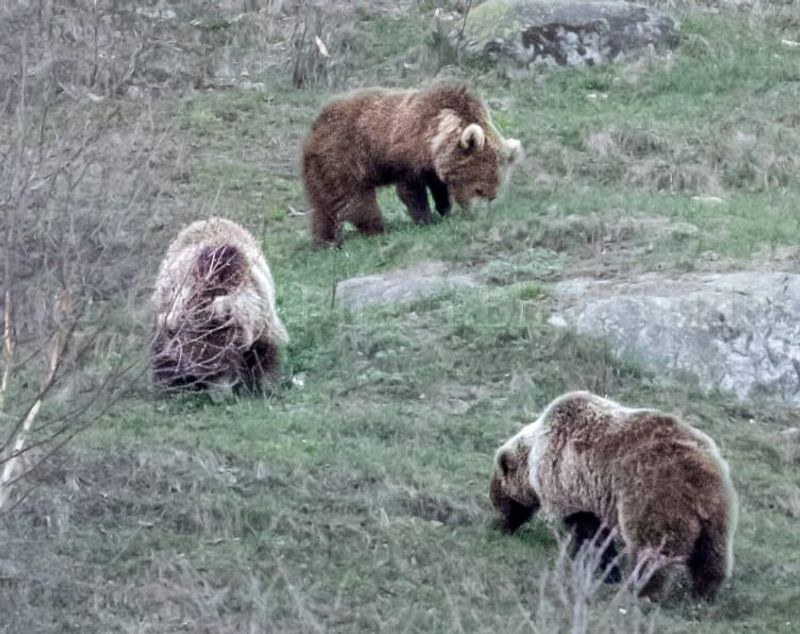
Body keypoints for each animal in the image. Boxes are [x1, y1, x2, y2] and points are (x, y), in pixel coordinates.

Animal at [150, 217, 289, 393]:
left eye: (221, 366)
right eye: (204, 373)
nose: (222, 394)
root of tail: (207, 220)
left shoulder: (261, 318)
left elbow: (265, 354)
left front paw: (267, 385)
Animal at [301, 85, 523, 246]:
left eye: (492, 196)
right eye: (478, 189)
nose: (479, 215)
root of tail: (314, 128)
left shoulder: (433, 166)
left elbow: (439, 187)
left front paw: (443, 209)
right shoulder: (407, 154)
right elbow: (411, 191)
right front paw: (426, 219)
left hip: (320, 170)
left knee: (323, 205)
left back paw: (325, 240)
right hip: (343, 157)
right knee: (356, 200)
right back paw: (378, 229)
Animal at [490, 391, 738, 601]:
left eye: (499, 501)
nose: (498, 527)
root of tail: (703, 473)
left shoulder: (571, 482)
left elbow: (589, 532)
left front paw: (600, 568)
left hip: (656, 496)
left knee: (653, 549)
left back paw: (641, 590)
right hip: (718, 513)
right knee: (712, 554)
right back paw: (703, 594)